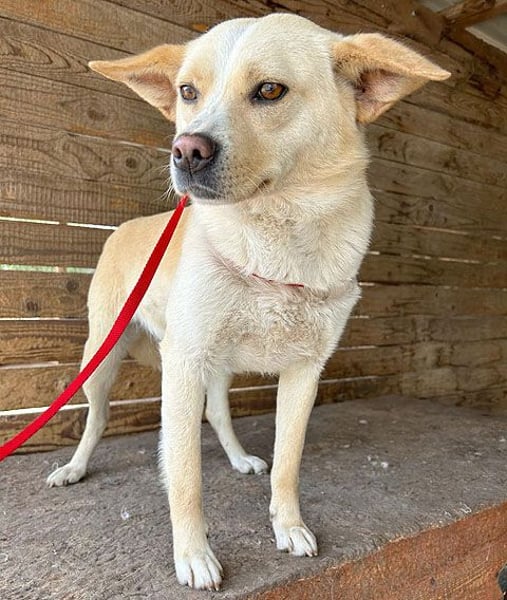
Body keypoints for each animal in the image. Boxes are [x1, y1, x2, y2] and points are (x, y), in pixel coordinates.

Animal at [46, 13, 449, 590]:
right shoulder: (184, 361)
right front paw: (193, 555)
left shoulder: (305, 370)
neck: (275, 246)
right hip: (101, 357)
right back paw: (75, 468)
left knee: (217, 413)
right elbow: (185, 476)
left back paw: (239, 459)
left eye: (270, 91)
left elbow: (288, 462)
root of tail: (125, 226)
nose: (186, 151)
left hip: (216, 365)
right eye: (187, 92)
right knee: (98, 418)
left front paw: (289, 527)